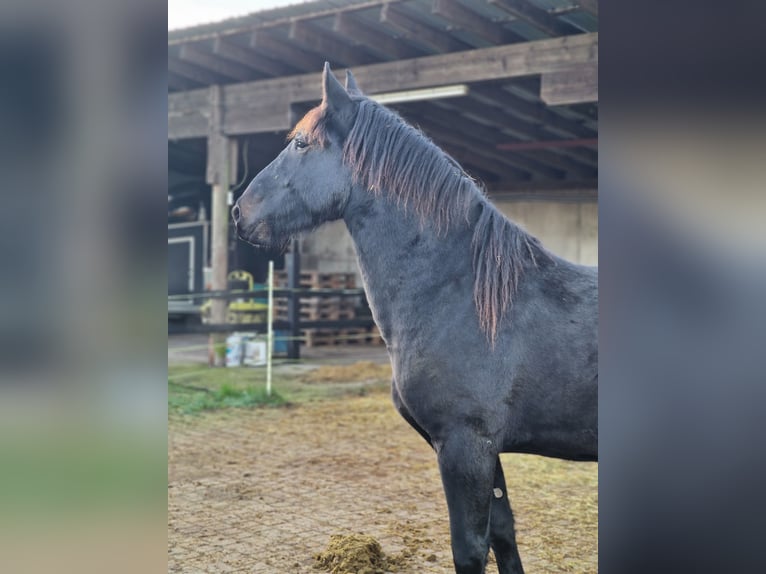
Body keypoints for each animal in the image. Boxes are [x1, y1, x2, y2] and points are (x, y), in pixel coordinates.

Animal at [234, 64, 600, 574]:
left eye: (301, 144)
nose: (238, 213)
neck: (461, 297)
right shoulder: (487, 450)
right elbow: (503, 534)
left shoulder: (464, 447)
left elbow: (470, 547)